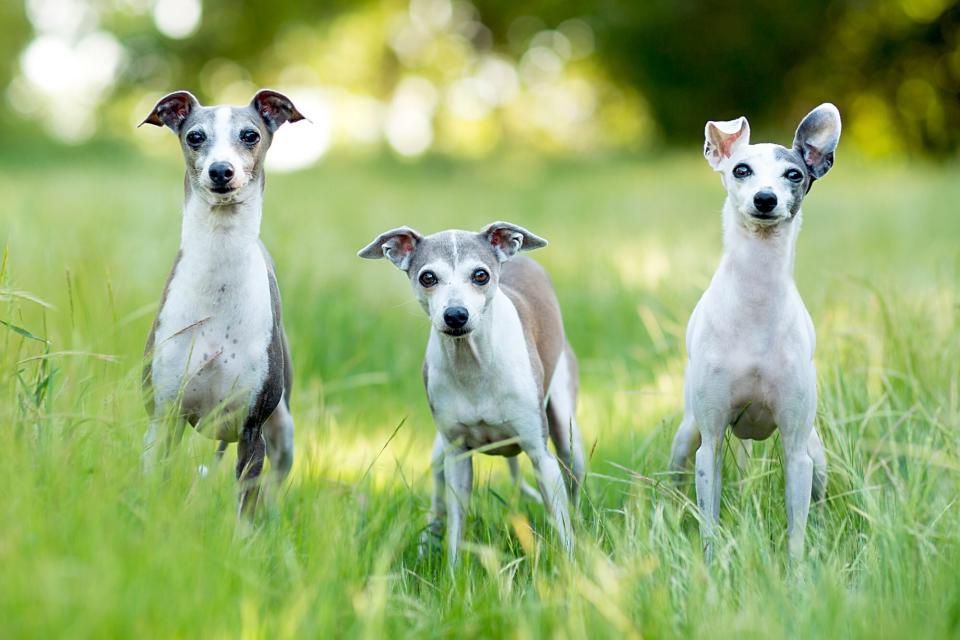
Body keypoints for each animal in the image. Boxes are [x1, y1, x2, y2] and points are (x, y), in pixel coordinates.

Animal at [139, 89, 302, 516]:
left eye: (250, 134)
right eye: (195, 136)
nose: (221, 171)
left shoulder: (251, 431)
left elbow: (245, 509)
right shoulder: (163, 419)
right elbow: (155, 485)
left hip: (282, 432)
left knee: (274, 483)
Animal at [360, 225, 584, 564]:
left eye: (480, 275)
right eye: (428, 277)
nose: (456, 315)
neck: (474, 364)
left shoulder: (540, 455)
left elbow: (562, 525)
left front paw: (571, 568)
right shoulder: (457, 457)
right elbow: (456, 525)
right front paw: (453, 573)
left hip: (567, 435)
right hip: (439, 456)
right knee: (438, 509)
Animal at [668, 102, 840, 556]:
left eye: (794, 174)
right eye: (741, 169)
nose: (766, 199)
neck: (756, 304)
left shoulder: (796, 450)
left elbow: (796, 531)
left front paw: (798, 569)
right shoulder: (709, 444)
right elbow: (709, 526)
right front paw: (710, 564)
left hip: (816, 453)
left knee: (816, 502)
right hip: (686, 437)